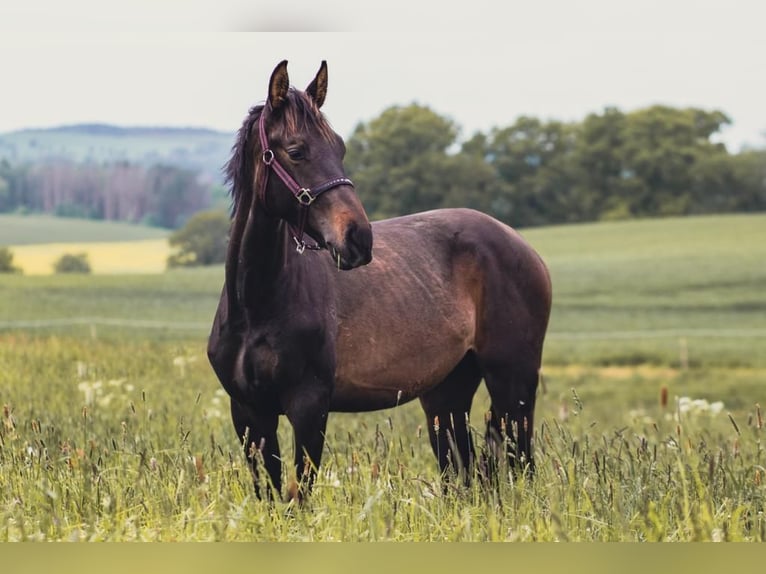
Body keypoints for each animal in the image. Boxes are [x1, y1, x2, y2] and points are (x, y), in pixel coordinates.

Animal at [207, 60, 552, 502]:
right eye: (297, 151)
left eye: (340, 148)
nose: (358, 238)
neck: (257, 304)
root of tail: (523, 246)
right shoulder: (250, 413)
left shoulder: (309, 407)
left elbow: (300, 496)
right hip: (446, 395)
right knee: (463, 472)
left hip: (513, 383)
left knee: (520, 462)